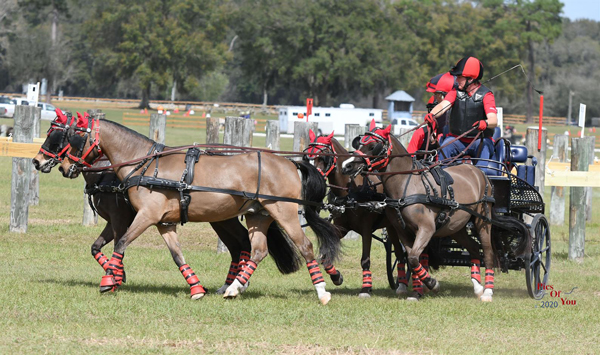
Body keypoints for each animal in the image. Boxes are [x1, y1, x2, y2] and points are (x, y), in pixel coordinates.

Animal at [58, 115, 344, 304]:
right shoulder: (164, 223)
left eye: (77, 136)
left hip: (284, 212)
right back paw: (233, 288)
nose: (63, 167)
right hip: (258, 216)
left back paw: (322, 292)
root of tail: (291, 163)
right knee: (258, 250)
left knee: (305, 246)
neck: (146, 165)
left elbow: (122, 242)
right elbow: (177, 255)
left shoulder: (146, 216)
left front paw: (109, 281)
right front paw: (196, 289)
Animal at [342, 121, 528, 302]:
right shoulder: (403, 231)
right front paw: (418, 291)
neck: (407, 184)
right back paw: (477, 287)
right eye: (360, 142)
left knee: (487, 252)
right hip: (456, 227)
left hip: (483, 220)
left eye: (373, 146)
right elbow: (412, 258)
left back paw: (488, 292)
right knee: (474, 248)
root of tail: (480, 172)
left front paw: (432, 284)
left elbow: (413, 257)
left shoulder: (427, 229)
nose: (346, 165)